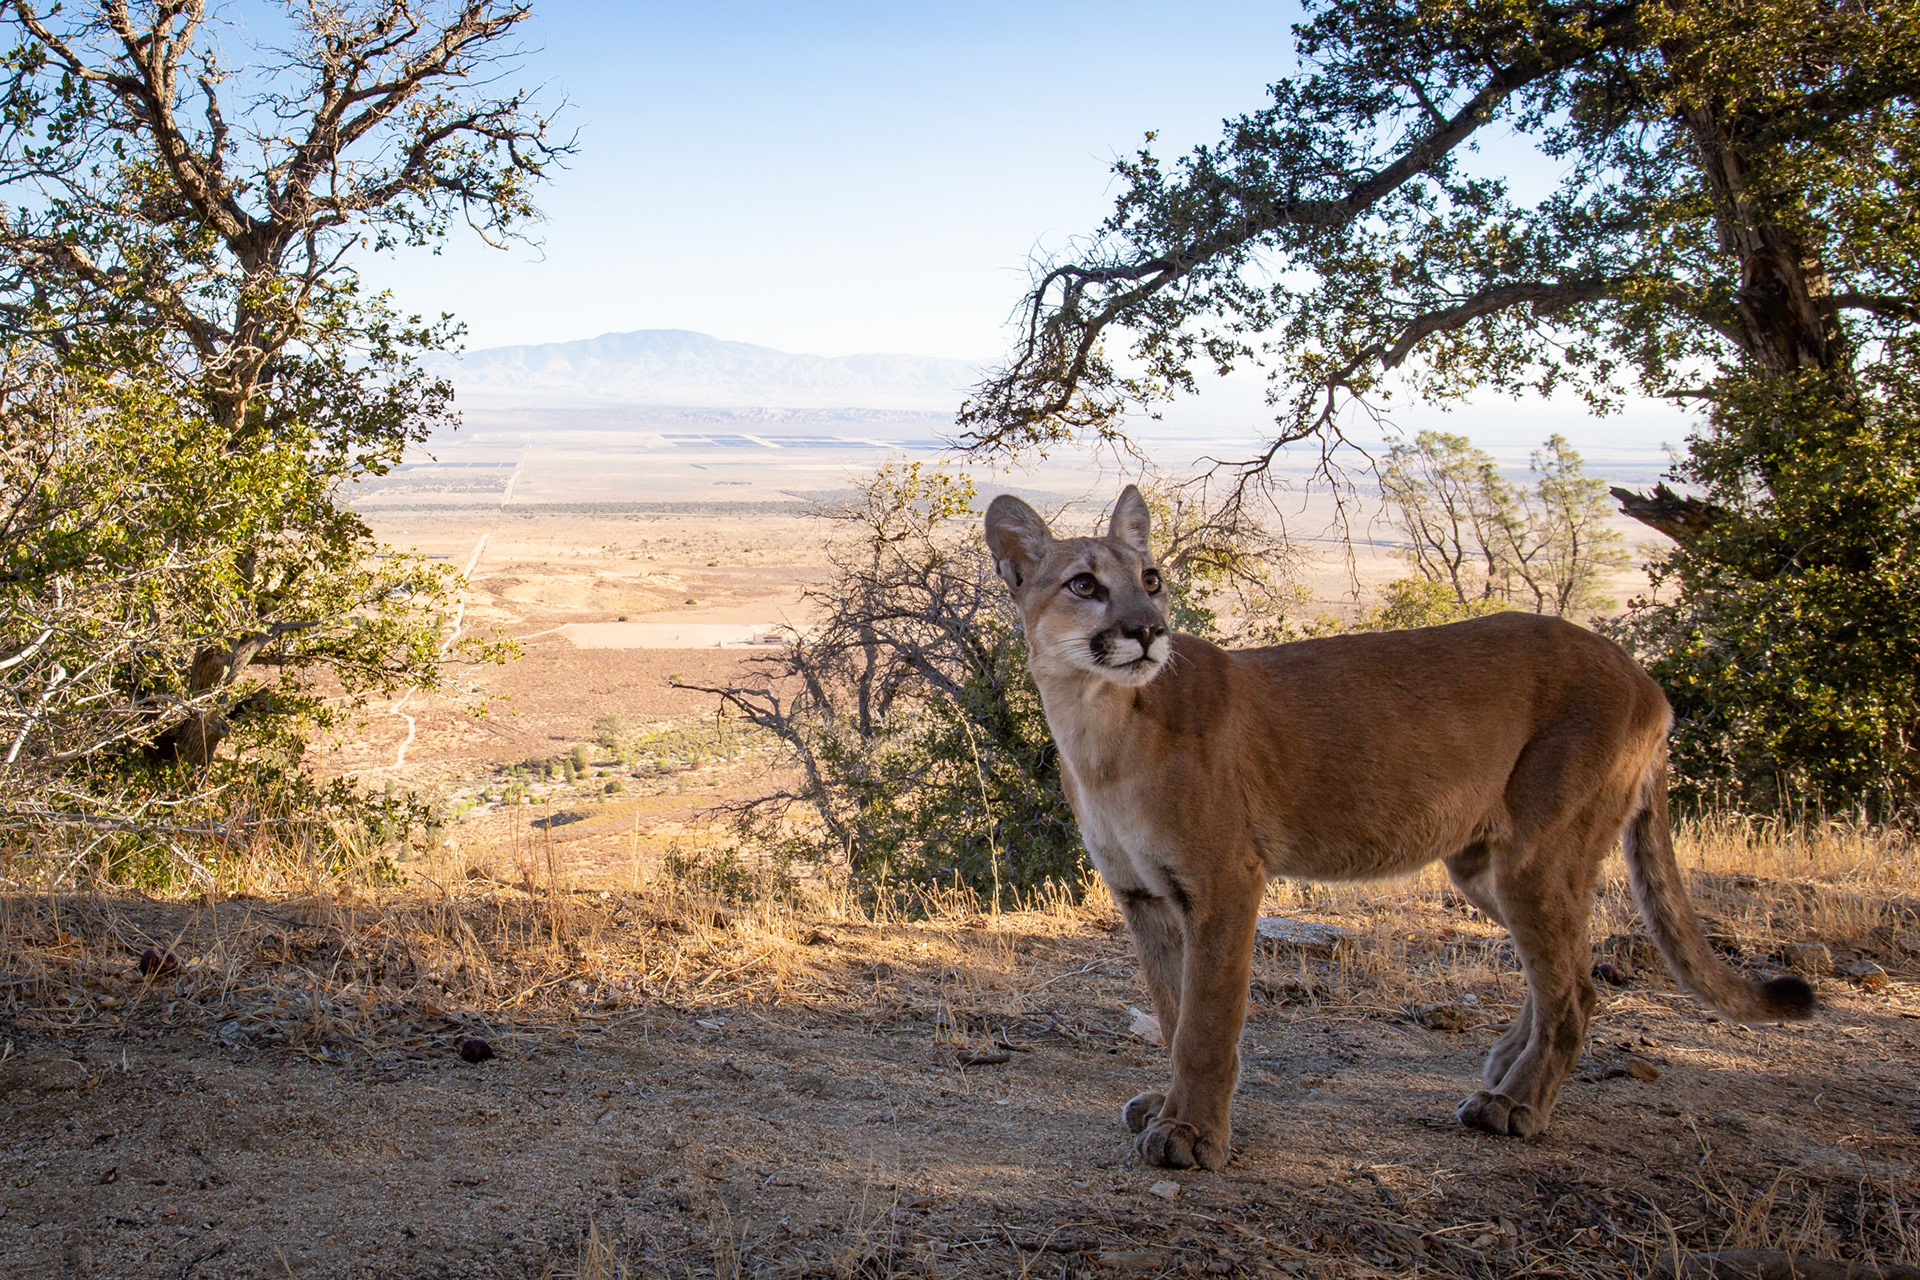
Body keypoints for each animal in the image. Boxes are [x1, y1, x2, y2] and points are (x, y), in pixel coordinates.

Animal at [984, 485, 1814, 1170]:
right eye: (1085, 585)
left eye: (1151, 579)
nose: (1149, 630)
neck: (1097, 724)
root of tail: (1643, 675)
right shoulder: (1146, 897)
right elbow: (1169, 1006)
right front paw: (1170, 1107)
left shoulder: (1223, 883)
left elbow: (1205, 1020)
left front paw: (1191, 1136)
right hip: (1485, 865)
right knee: (1560, 969)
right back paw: (1506, 1064)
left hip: (1537, 854)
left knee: (1575, 986)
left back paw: (1515, 1105)